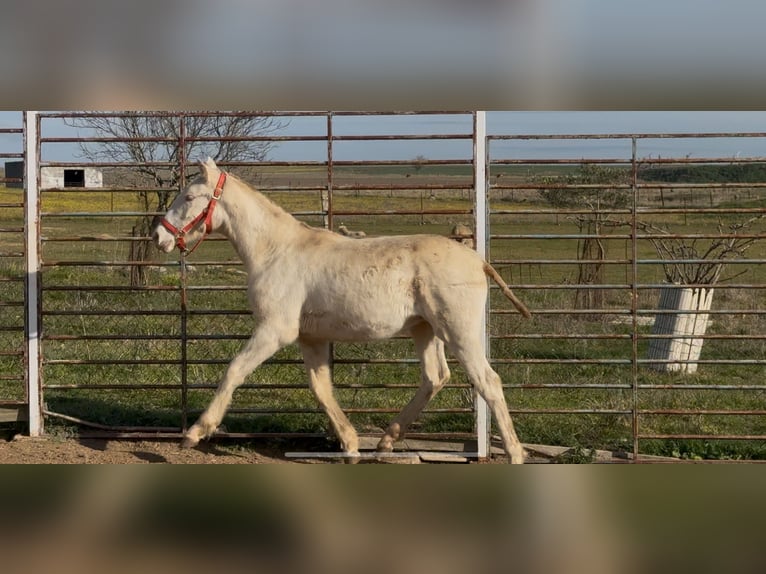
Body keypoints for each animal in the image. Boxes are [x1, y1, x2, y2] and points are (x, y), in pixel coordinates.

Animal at [153, 160, 532, 466]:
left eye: (189, 197)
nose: (159, 237)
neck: (274, 252)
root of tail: (479, 261)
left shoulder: (275, 330)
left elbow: (234, 371)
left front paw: (196, 433)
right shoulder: (310, 337)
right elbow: (321, 389)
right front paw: (349, 446)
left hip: (459, 331)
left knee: (488, 382)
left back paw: (515, 454)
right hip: (425, 329)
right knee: (435, 377)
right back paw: (385, 441)